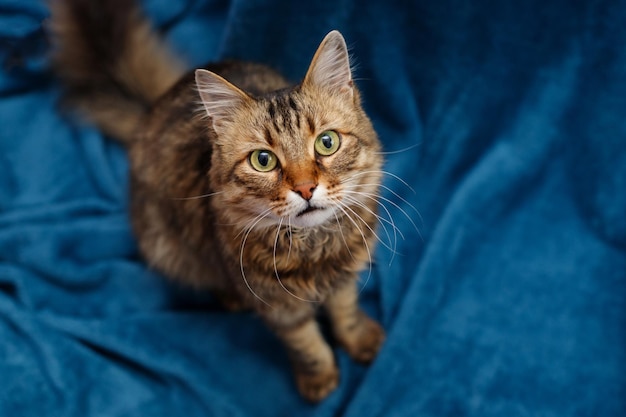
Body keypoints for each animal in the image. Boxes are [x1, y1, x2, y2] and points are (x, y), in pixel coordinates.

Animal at [50, 0, 386, 402]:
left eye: (327, 143)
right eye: (263, 160)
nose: (306, 189)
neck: (314, 250)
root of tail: (154, 108)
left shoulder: (346, 276)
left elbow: (345, 311)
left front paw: (359, 339)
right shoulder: (278, 307)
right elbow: (307, 343)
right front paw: (319, 380)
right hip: (169, 248)